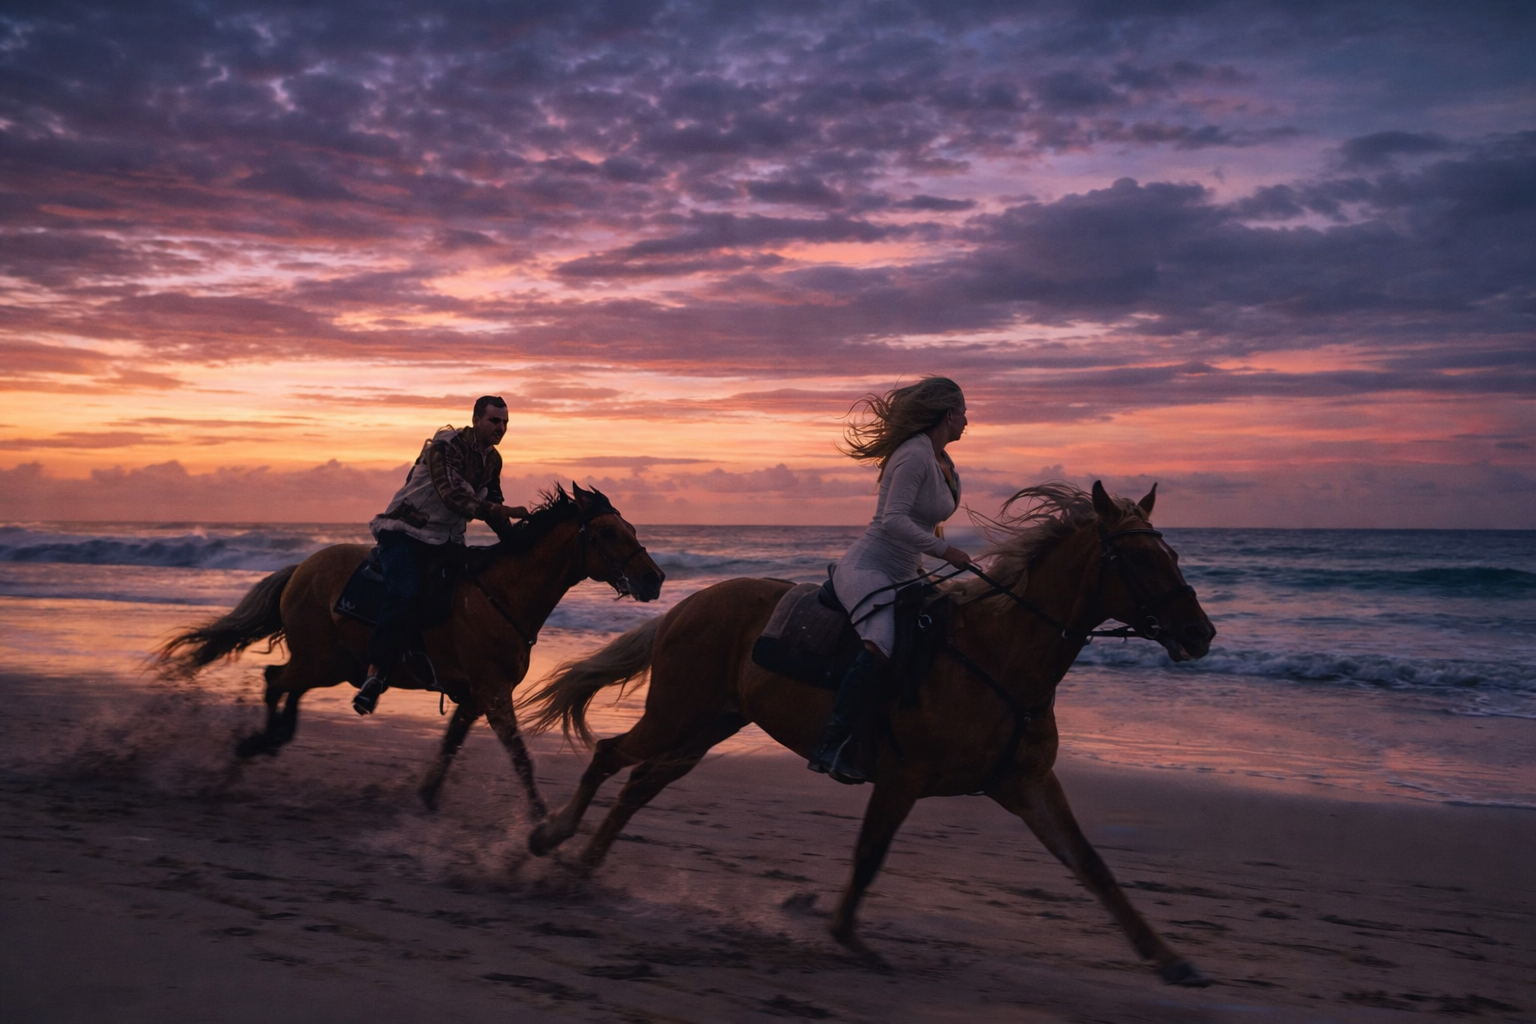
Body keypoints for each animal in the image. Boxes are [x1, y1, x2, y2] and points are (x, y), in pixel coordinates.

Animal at [156, 483, 664, 817]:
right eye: (608, 531)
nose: (654, 579)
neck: (500, 593)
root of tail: (301, 567)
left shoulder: (476, 697)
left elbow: (449, 747)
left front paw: (426, 799)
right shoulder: (494, 693)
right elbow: (520, 757)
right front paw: (541, 821)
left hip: (333, 663)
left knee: (286, 687)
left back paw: (272, 737)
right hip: (319, 660)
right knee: (274, 681)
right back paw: (258, 741)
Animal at [520, 481, 1216, 984]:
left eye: (1175, 554)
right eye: (1137, 557)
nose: (1200, 633)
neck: (1000, 656)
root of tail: (686, 604)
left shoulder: (1027, 785)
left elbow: (1092, 865)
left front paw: (1172, 960)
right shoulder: (903, 777)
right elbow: (869, 854)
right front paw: (847, 937)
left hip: (706, 727)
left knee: (639, 784)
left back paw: (583, 866)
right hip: (676, 715)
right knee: (611, 755)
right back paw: (549, 836)